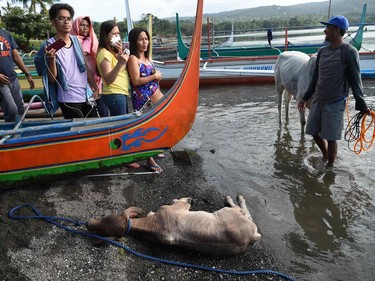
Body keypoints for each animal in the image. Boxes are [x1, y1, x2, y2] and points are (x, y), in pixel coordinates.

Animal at [87, 194, 262, 255]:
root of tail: (253, 236)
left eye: (105, 217)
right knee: (244, 211)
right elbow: (182, 201)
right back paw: (234, 198)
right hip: (229, 213)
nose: (88, 223)